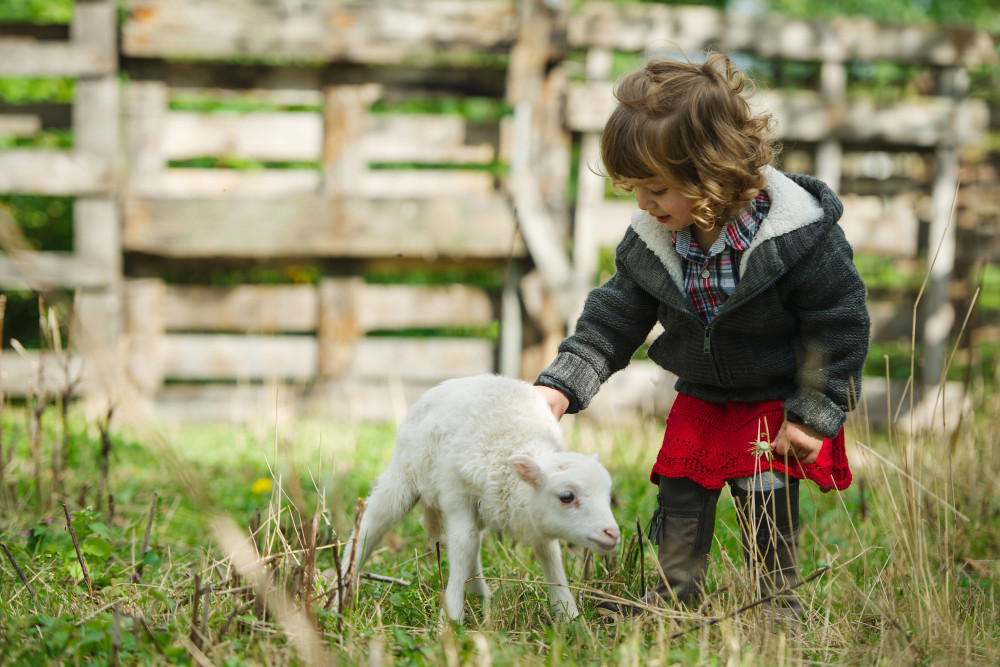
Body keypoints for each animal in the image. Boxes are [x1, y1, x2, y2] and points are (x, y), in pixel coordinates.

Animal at [340, 374, 620, 624]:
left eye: (608, 495)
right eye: (566, 496)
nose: (612, 534)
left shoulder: (534, 514)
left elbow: (549, 553)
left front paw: (568, 615)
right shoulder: (456, 493)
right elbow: (464, 545)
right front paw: (450, 619)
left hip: (483, 505)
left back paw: (479, 594)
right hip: (404, 471)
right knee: (373, 522)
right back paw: (340, 594)